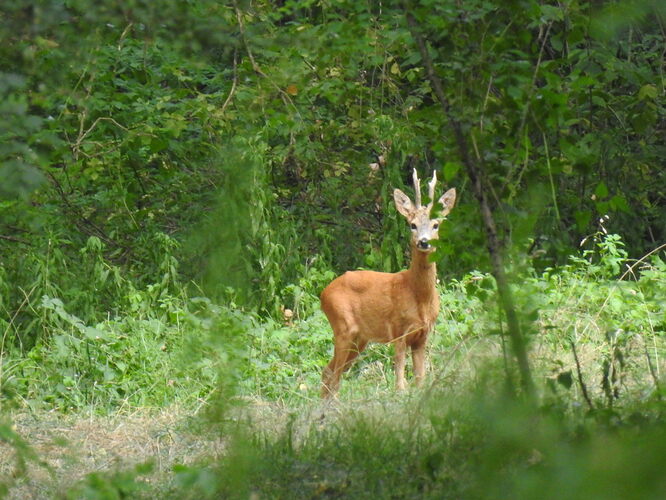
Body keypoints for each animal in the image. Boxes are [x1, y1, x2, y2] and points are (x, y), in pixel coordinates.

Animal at [318, 168, 454, 398]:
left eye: (436, 225)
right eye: (412, 225)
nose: (423, 242)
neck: (419, 296)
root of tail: (323, 293)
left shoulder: (423, 335)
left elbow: (420, 379)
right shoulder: (398, 329)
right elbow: (400, 381)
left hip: (360, 339)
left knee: (328, 372)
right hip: (343, 326)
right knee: (333, 377)